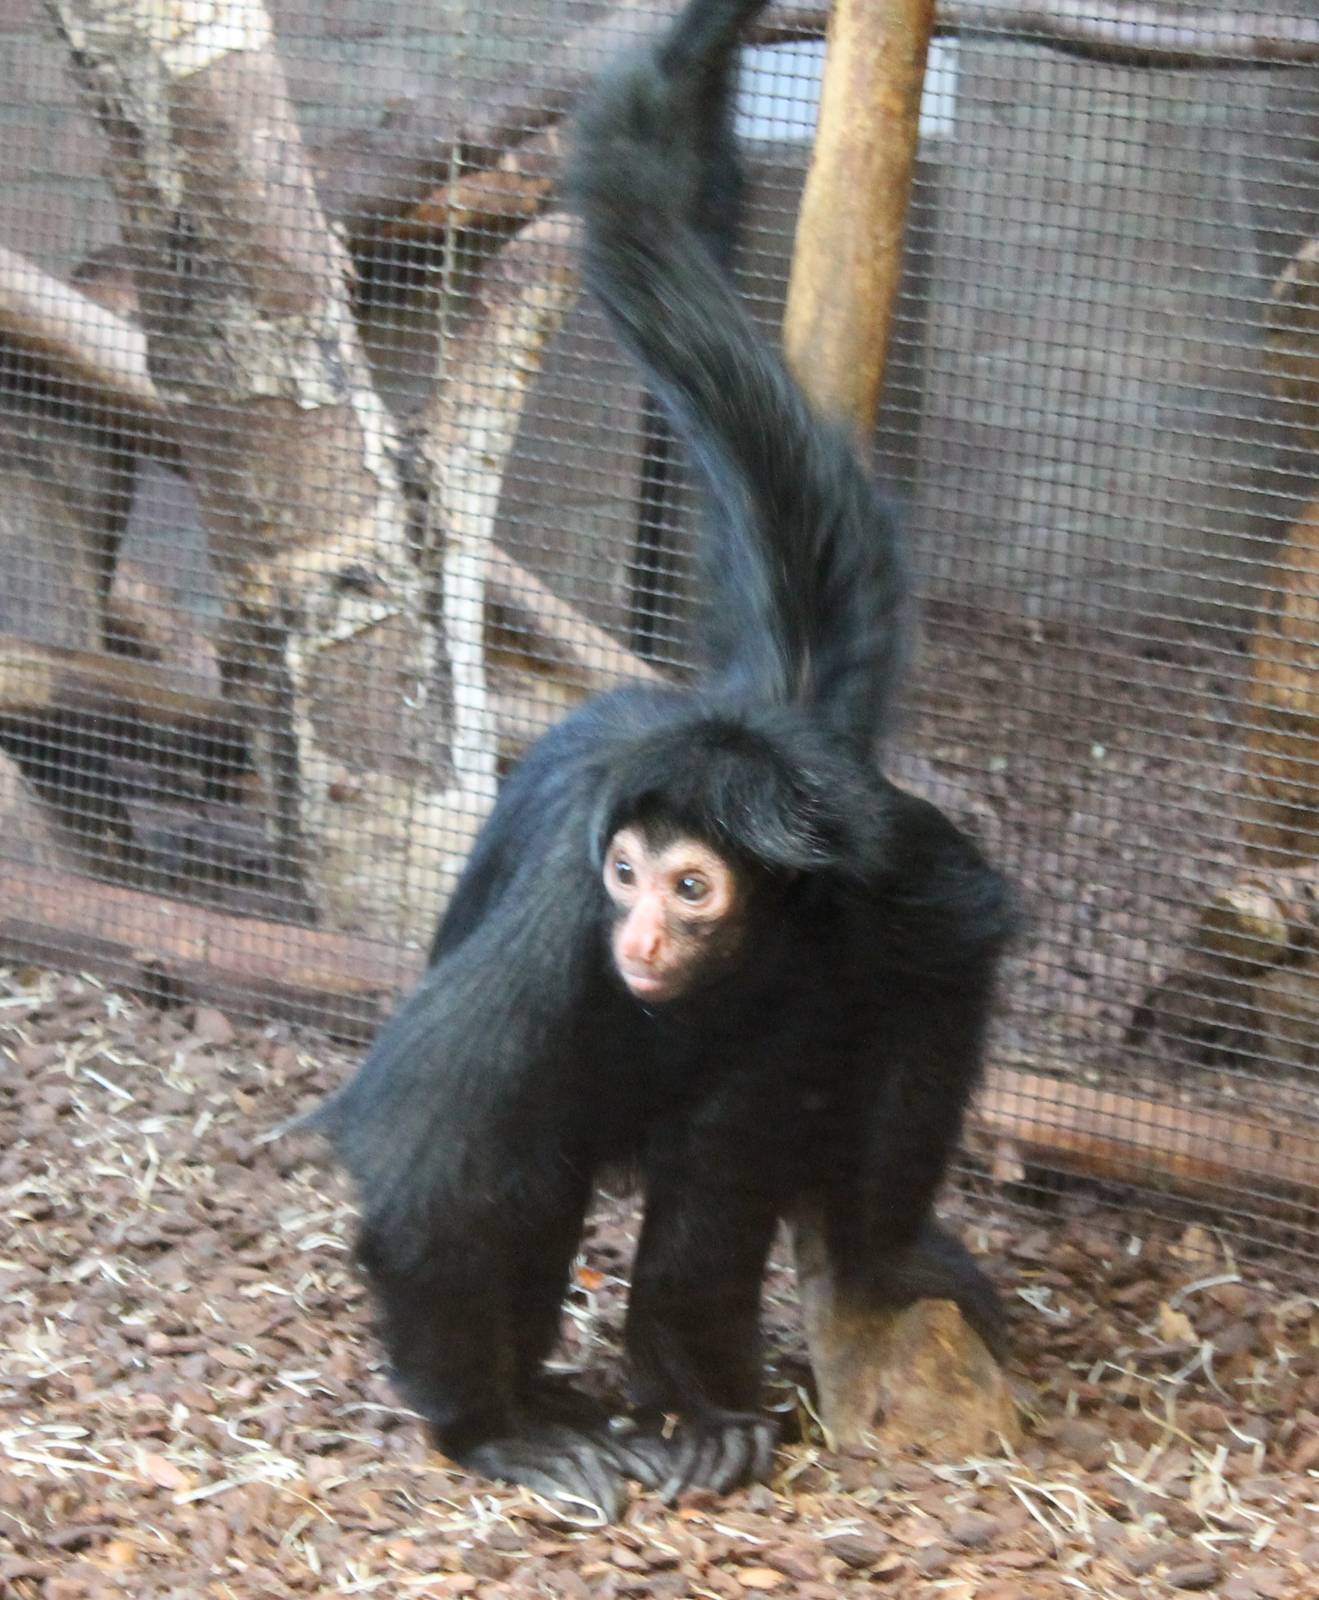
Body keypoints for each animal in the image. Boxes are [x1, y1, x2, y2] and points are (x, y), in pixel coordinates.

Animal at [314, 0, 1017, 1520]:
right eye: (627, 876)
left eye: (691, 888)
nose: (642, 931)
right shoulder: (557, 920)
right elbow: (429, 1158)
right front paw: (489, 1431)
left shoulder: (883, 869)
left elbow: (951, 963)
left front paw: (881, 1249)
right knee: (527, 1153)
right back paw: (563, 1399)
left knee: (727, 1133)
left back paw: (698, 1397)